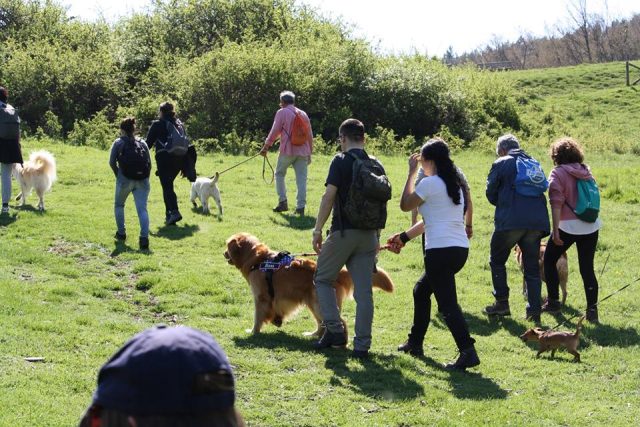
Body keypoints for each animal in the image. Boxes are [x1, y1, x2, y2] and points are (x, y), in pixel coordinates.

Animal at [224, 232, 394, 337]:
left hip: (319, 303)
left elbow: (257, 317)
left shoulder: (261, 298)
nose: (223, 253)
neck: (258, 260)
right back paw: (314, 335)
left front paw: (253, 331)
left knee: (340, 322)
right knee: (322, 324)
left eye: (227, 247)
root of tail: (339, 272)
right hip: (313, 303)